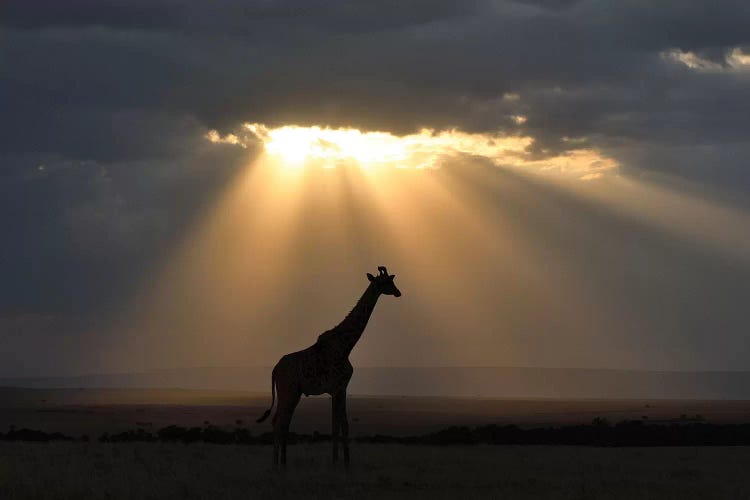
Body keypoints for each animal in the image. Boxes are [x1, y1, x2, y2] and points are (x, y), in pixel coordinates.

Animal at [258, 268, 402, 466]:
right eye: (385, 282)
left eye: (391, 280)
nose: (398, 292)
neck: (346, 346)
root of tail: (274, 370)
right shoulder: (337, 387)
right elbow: (338, 427)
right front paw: (339, 464)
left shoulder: (341, 389)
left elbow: (341, 425)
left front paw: (343, 463)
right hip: (288, 391)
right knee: (279, 422)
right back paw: (276, 465)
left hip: (292, 393)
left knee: (280, 422)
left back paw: (282, 463)